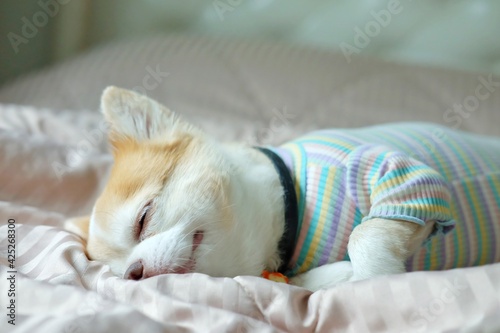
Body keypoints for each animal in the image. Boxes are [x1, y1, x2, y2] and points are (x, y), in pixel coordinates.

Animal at [66, 86, 500, 290]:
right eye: (118, 272)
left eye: (144, 218)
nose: (134, 272)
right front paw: (336, 277)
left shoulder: (409, 177)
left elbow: (364, 239)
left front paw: (377, 277)